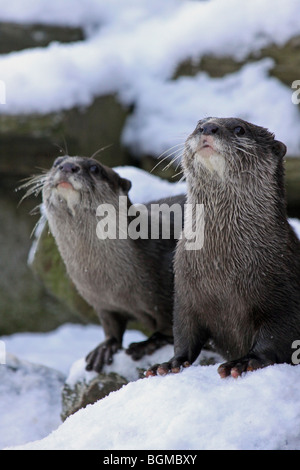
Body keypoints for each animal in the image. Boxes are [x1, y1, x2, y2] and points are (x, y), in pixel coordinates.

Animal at [29, 157, 185, 370]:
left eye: (95, 168)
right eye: (56, 162)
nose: (67, 166)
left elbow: (170, 325)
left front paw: (148, 343)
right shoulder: (102, 303)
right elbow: (111, 326)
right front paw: (104, 348)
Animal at [146, 116, 300, 378]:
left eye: (240, 129)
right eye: (199, 123)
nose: (207, 128)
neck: (221, 268)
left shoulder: (283, 294)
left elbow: (275, 336)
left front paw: (243, 362)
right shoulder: (185, 292)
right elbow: (184, 333)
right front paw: (170, 363)